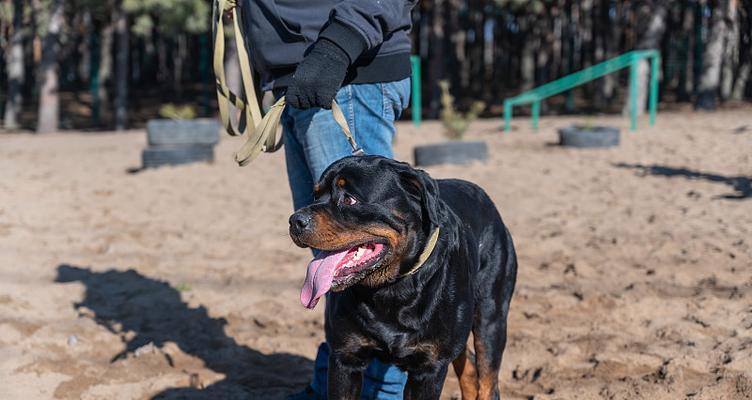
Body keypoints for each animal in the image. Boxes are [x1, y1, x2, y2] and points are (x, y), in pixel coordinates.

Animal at [288, 156, 516, 400]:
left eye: (349, 199)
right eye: (315, 195)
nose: (295, 220)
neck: (391, 288)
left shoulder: (429, 367)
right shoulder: (345, 357)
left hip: (491, 318)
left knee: (487, 377)